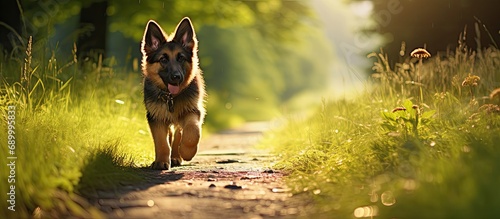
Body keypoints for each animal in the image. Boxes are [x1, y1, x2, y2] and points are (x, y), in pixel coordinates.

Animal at [141, 18, 205, 170]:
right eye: (163, 59)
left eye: (181, 58)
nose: (176, 77)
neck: (171, 97)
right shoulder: (156, 118)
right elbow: (162, 142)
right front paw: (160, 161)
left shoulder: (192, 111)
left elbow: (192, 132)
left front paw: (186, 152)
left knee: (178, 133)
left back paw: (176, 156)